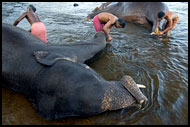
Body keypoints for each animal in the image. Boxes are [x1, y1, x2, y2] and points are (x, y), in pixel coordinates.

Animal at [1, 23, 148, 120]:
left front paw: (103, 32)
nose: (139, 99)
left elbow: (95, 45)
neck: (34, 73)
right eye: (95, 76)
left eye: (90, 70)